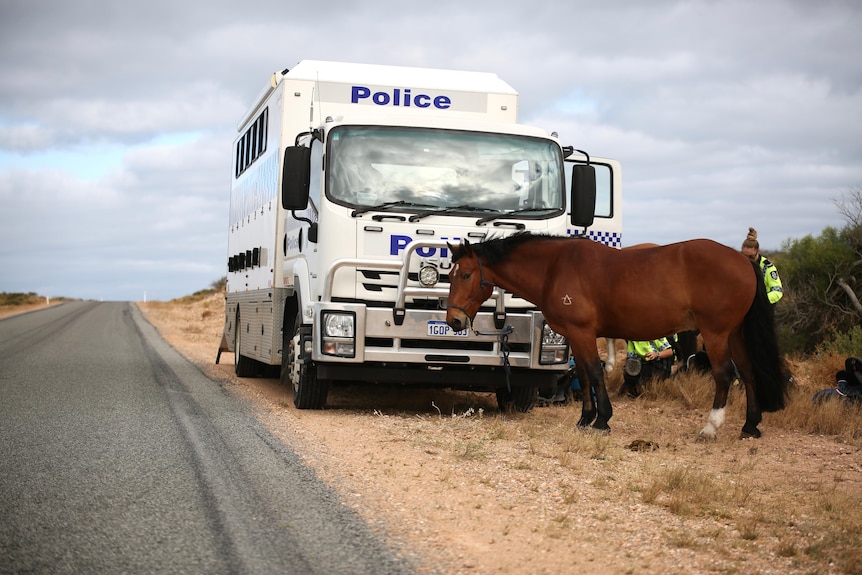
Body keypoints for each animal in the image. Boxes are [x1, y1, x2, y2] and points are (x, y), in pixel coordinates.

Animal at [448, 232, 792, 438]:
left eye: (466, 275)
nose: (453, 320)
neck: (554, 268)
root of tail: (743, 260)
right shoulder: (575, 336)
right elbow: (583, 375)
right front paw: (585, 419)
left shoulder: (582, 332)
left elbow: (596, 372)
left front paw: (602, 420)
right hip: (735, 333)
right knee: (748, 372)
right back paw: (750, 425)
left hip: (717, 333)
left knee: (724, 375)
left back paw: (710, 428)